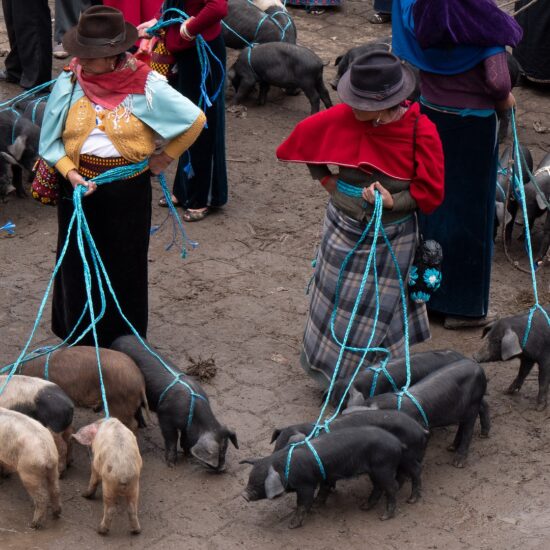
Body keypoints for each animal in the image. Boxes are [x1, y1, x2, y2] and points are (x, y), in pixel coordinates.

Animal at [111, 336, 238, 470]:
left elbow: (185, 437)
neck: (193, 417)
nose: (223, 468)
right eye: (218, 451)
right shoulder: (164, 416)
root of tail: (118, 339)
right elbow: (171, 438)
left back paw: (144, 425)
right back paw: (142, 426)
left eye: (226, 448)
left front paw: (188, 455)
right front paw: (172, 464)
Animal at [244, 426, 412, 532]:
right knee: (378, 487)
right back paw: (364, 507)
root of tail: (398, 443)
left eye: (259, 483)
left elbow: (303, 503)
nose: (244, 495)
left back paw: (384, 516)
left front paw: (292, 525)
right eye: (249, 478)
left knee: (392, 487)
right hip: (375, 471)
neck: (287, 467)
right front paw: (317, 505)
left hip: (383, 467)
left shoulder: (306, 484)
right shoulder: (324, 477)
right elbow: (322, 491)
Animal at [272, 410, 432, 504]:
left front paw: (319, 501)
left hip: (409, 455)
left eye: (286, 449)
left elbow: (324, 486)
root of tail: (421, 429)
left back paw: (412, 500)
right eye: (275, 448)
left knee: (416, 471)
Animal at [362, 362, 492, 470]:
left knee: (468, 428)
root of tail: (479, 367)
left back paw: (458, 463)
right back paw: (452, 447)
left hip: (473, 402)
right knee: (464, 423)